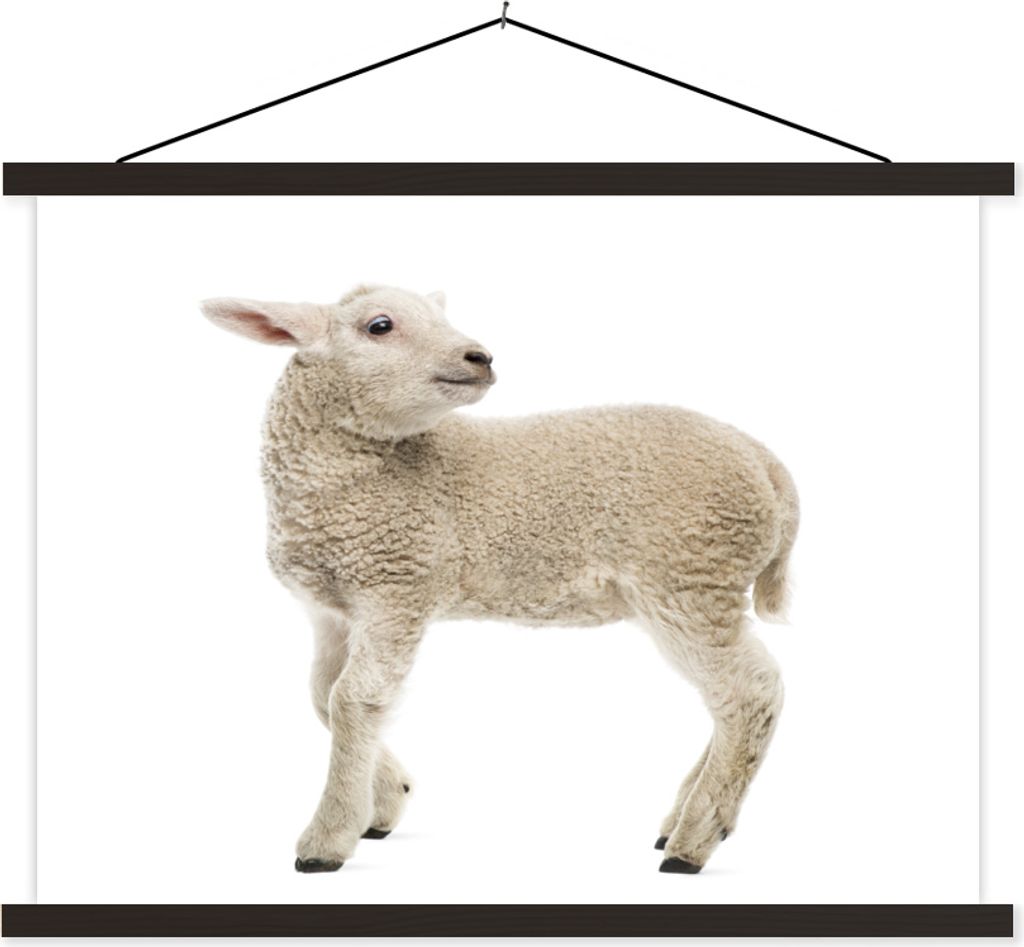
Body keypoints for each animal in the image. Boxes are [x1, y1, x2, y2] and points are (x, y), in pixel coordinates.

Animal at [201, 284, 799, 875]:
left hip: (691, 576)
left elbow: (354, 699)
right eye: (379, 326)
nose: (480, 357)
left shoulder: (398, 586)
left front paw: (326, 839)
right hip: (693, 582)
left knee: (750, 690)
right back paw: (684, 821)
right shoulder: (333, 609)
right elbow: (323, 696)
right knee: (736, 696)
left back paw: (693, 841)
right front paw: (388, 797)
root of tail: (765, 463)